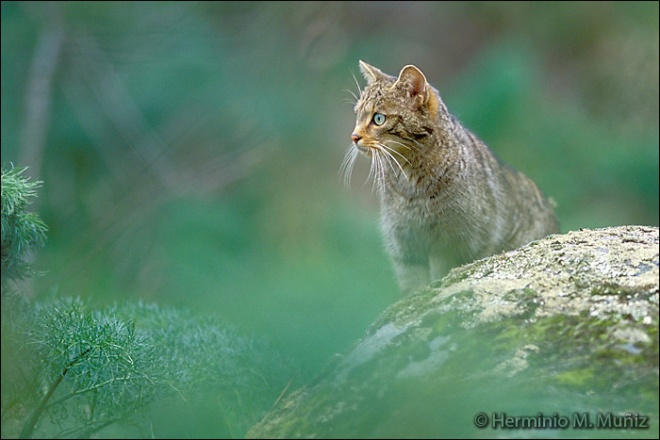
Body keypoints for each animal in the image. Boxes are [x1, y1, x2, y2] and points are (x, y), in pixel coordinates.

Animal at [342, 60, 560, 294]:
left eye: (378, 118)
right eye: (358, 115)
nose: (353, 136)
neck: (411, 183)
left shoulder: (455, 242)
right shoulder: (405, 246)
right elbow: (414, 287)